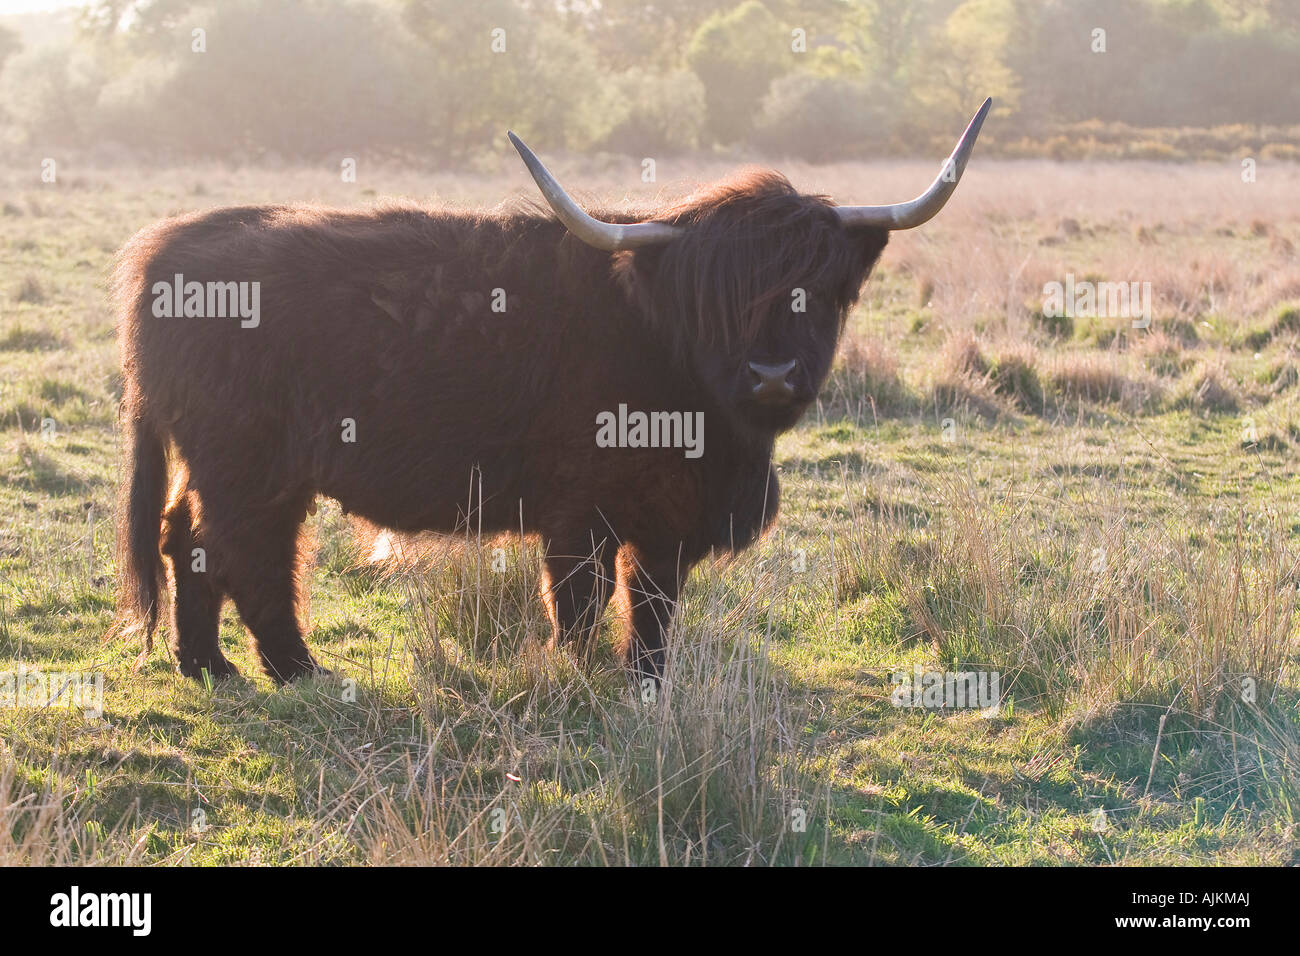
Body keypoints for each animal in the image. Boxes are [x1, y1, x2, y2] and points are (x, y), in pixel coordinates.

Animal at [114, 97, 982, 686]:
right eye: (712, 300)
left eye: (819, 292)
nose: (771, 376)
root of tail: (172, 244)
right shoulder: (578, 510)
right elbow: (580, 602)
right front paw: (571, 669)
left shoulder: (669, 518)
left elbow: (654, 603)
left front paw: (647, 683)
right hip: (248, 465)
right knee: (243, 551)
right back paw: (296, 669)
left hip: (228, 464)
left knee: (187, 537)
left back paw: (207, 665)